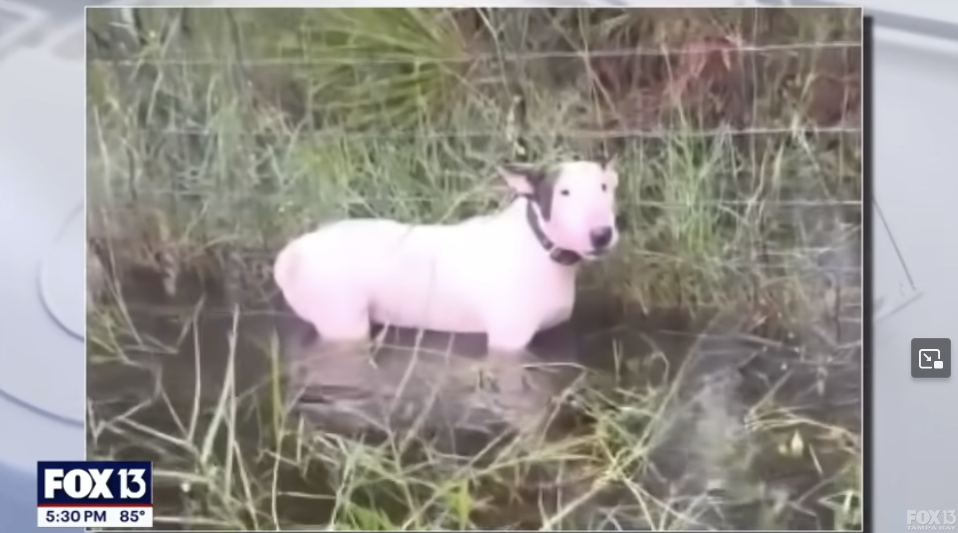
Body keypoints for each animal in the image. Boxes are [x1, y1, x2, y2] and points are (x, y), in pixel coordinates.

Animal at [278, 158, 624, 358]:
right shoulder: (508, 342)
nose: (601, 234)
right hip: (342, 321)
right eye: (563, 192)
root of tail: (290, 254)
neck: (540, 247)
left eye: (604, 187)